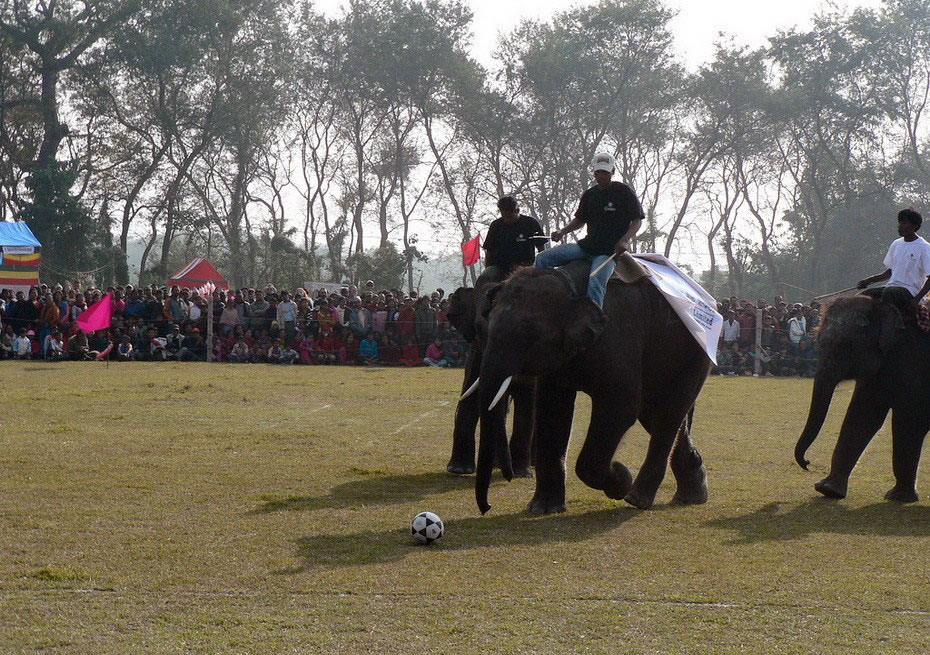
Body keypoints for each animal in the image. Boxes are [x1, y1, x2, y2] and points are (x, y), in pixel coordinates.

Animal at [444, 270, 536, 476]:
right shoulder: (476, 356)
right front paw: (459, 469)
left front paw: (522, 473)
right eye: (479, 328)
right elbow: (471, 398)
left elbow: (527, 400)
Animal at [472, 258, 712, 516]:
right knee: (657, 414)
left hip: (697, 352)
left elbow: (620, 407)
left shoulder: (618, 336)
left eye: (532, 334)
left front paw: (620, 478)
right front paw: (542, 509)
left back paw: (636, 498)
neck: (571, 287)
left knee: (669, 413)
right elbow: (552, 410)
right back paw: (693, 495)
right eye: (485, 326)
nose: (487, 507)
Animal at [792, 294, 928, 504]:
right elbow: (862, 417)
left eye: (846, 346)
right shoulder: (878, 369)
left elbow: (909, 421)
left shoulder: (914, 363)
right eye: (819, 343)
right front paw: (828, 489)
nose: (807, 462)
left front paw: (898, 497)